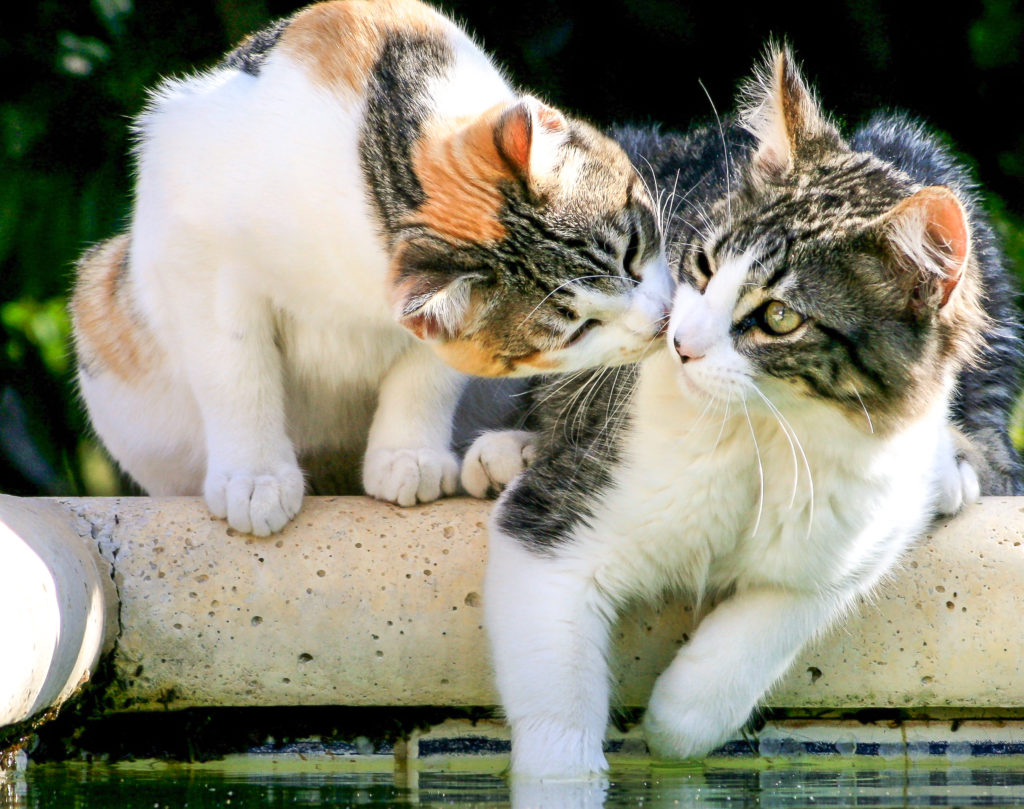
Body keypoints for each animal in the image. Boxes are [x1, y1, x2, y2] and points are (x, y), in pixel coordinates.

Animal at [74, 0, 671, 536]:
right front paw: (254, 476)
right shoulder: (197, 252)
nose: (661, 322)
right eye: (580, 329)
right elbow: (236, 373)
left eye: (633, 250)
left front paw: (409, 454)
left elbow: (428, 373)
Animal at [475, 49, 1019, 778]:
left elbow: (786, 612)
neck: (762, 430)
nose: (679, 341)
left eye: (780, 317)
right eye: (703, 265)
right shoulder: (552, 531)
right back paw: (509, 448)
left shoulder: (863, 524)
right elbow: (556, 708)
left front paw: (678, 714)